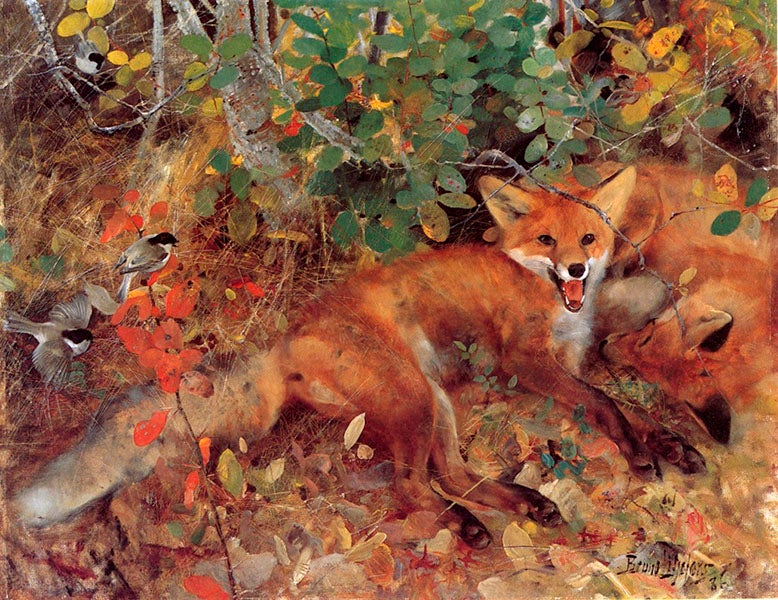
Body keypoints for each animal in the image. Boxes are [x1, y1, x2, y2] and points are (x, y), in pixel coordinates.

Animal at [12, 167, 695, 547]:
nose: (577, 269)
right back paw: (466, 527)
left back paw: (524, 504)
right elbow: (606, 404)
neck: (551, 299)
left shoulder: (569, 364)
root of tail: (286, 338)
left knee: (451, 475)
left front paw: (669, 444)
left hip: (432, 401)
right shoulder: (527, 362)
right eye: (548, 240)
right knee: (411, 484)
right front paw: (639, 454)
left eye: (589, 238)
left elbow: (623, 403)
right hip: (415, 399)